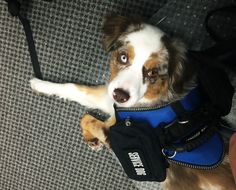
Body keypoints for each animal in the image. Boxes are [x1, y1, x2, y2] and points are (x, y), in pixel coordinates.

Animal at [30, 15, 236, 190]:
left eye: (152, 72)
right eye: (123, 57)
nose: (120, 96)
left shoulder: (124, 141)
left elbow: (89, 119)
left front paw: (92, 136)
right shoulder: (112, 97)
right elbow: (74, 90)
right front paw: (40, 84)